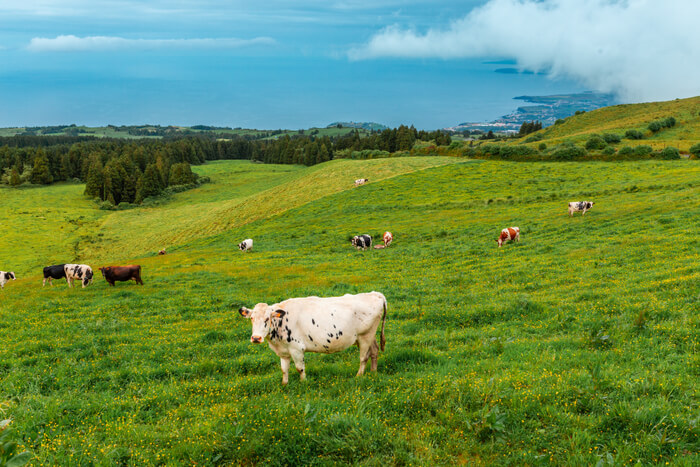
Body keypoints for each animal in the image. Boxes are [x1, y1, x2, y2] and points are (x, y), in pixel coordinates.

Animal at [238, 292, 386, 388]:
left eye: (267, 318)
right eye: (252, 318)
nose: (256, 338)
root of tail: (374, 293)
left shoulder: (297, 349)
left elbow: (300, 368)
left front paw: (304, 383)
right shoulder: (284, 351)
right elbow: (284, 369)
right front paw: (284, 385)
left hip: (365, 336)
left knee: (364, 357)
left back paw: (359, 375)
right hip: (369, 336)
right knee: (374, 350)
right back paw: (373, 372)